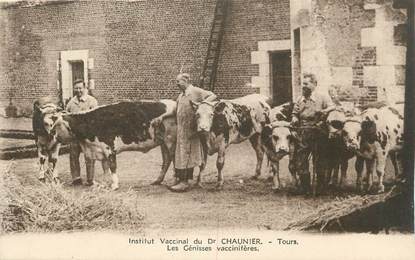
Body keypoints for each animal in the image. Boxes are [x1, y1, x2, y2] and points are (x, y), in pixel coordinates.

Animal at [41, 99, 177, 189]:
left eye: (56, 125)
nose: (51, 134)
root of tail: (174, 103)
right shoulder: (100, 150)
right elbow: (105, 168)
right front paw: (105, 183)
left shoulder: (110, 148)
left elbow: (112, 167)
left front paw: (114, 185)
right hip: (162, 142)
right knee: (166, 160)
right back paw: (157, 181)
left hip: (170, 140)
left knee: (173, 158)